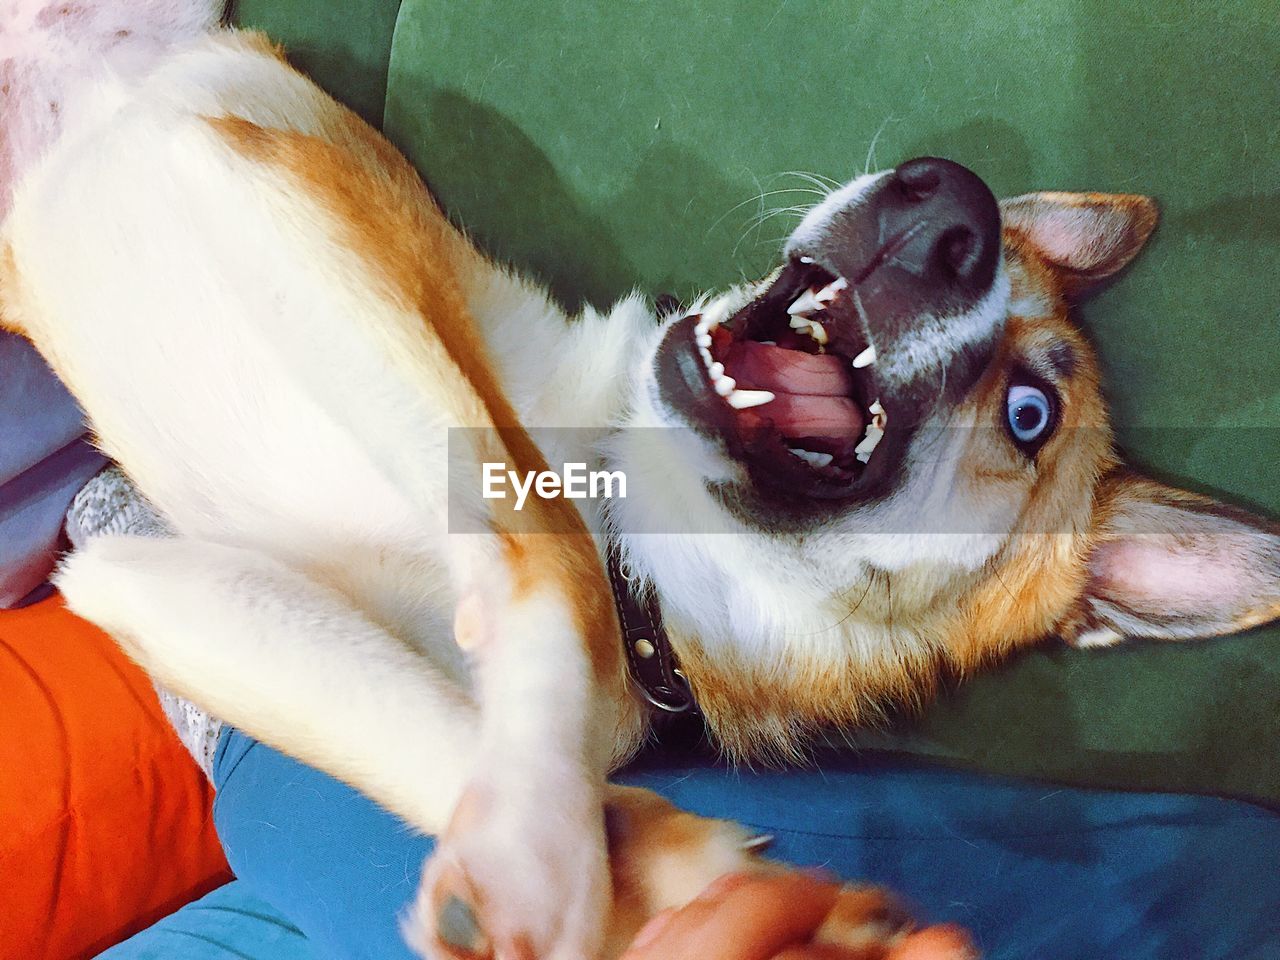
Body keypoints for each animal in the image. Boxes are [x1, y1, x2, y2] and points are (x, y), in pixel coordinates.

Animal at [2, 1, 1280, 960]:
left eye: (1029, 415)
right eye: (997, 251)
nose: (945, 206)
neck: (641, 540)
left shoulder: (160, 582)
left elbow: (472, 738)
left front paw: (611, 872)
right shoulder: (260, 183)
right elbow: (545, 544)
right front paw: (561, 843)